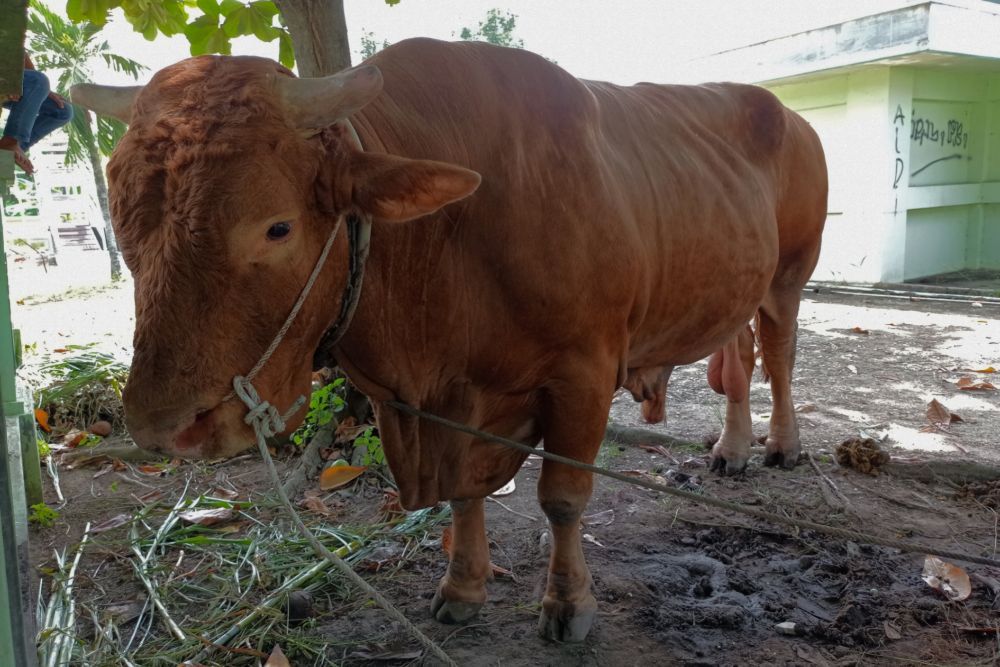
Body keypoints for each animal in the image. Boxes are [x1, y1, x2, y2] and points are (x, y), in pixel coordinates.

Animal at [74, 39, 828, 644]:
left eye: (277, 227)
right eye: (123, 226)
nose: (168, 427)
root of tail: (786, 113)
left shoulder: (583, 373)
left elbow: (563, 497)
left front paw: (568, 603)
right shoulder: (453, 400)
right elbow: (465, 493)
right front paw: (462, 587)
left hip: (790, 275)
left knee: (779, 354)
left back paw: (782, 445)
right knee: (741, 362)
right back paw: (732, 448)